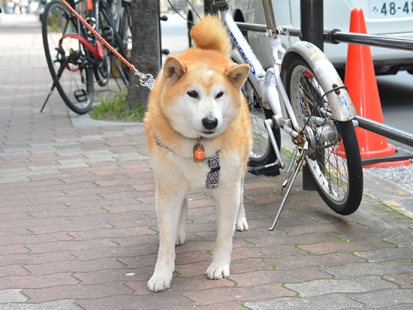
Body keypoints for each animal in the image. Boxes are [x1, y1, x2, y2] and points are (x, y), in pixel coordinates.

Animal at [143, 13, 253, 290]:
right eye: (192, 93)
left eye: (220, 94)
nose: (211, 122)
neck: (197, 144)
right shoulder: (167, 188)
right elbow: (165, 239)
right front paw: (162, 274)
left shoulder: (226, 187)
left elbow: (223, 236)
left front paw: (219, 265)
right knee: (183, 204)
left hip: (240, 169)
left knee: (242, 193)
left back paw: (240, 220)